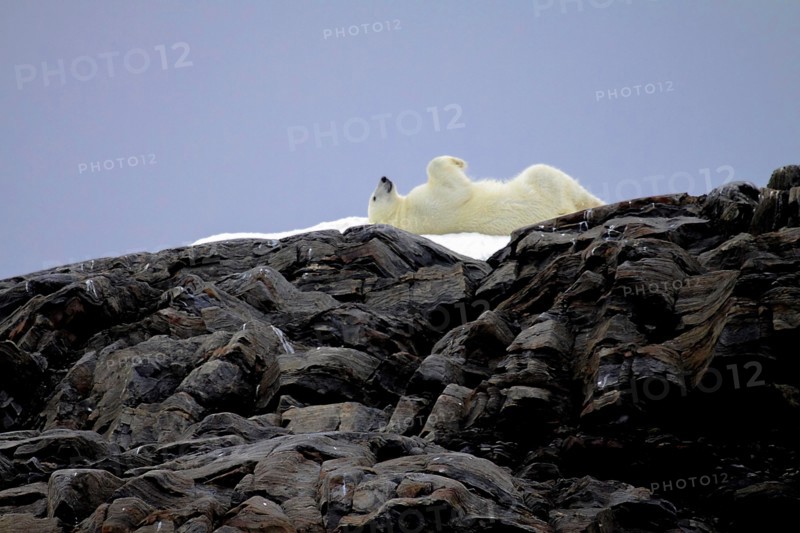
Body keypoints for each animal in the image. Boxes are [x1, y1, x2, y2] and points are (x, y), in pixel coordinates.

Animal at [367, 155, 604, 235]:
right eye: (374, 198)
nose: (384, 178)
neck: (403, 216)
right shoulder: (430, 204)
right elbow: (455, 187)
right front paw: (458, 162)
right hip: (542, 186)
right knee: (548, 174)